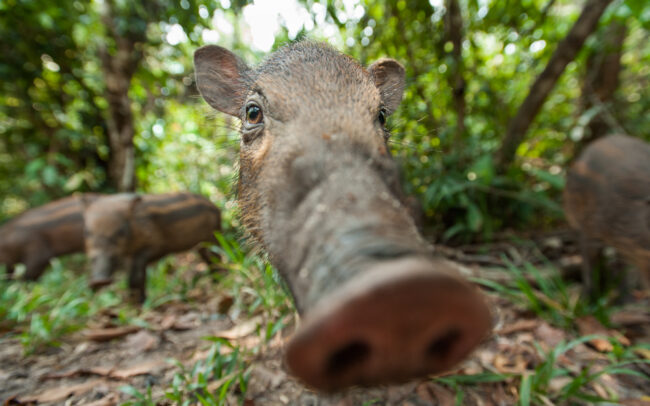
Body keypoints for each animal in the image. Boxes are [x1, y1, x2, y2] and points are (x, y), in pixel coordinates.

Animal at [82, 192, 221, 303]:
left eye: (120, 232)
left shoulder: (153, 246)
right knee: (209, 260)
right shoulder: (129, 256)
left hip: (214, 237)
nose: (99, 281)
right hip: (202, 245)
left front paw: (139, 302)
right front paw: (136, 301)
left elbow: (137, 277)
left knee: (217, 257)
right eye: (88, 232)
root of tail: (215, 207)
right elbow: (134, 278)